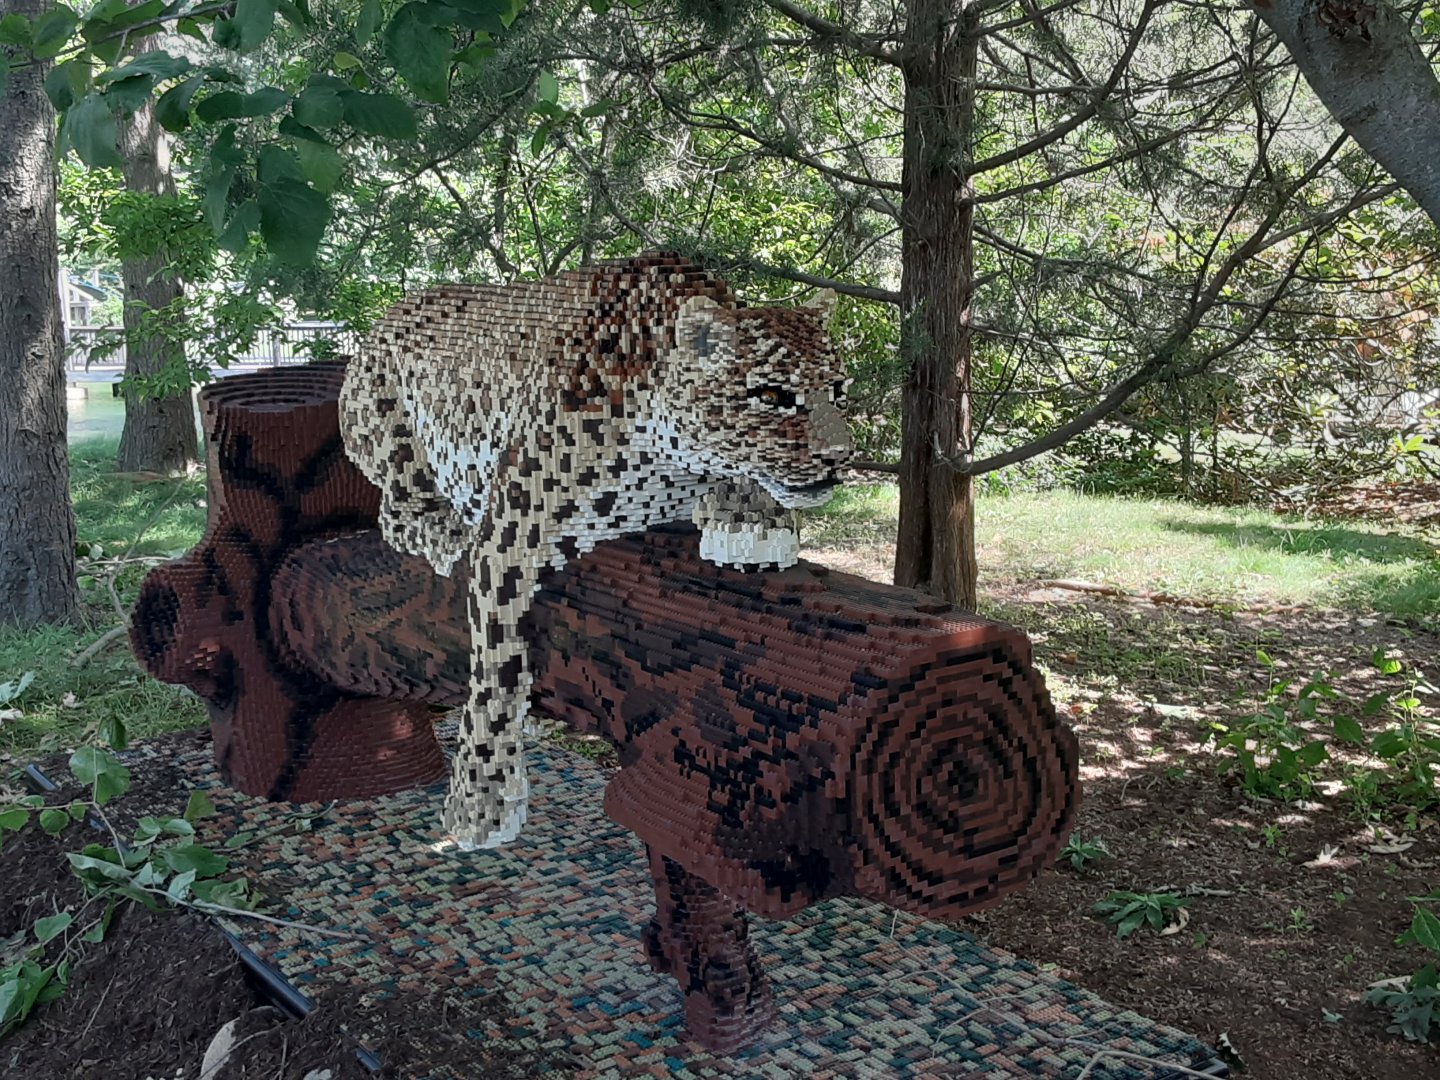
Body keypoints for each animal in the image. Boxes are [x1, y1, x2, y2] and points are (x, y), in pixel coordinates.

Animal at [338, 253, 852, 850]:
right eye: (770, 397)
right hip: (386, 424)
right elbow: (495, 672)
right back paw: (442, 529)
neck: (664, 462)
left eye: (839, 389)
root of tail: (380, 322)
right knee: (395, 509)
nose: (841, 456)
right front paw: (481, 796)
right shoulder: (508, 538)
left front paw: (753, 516)